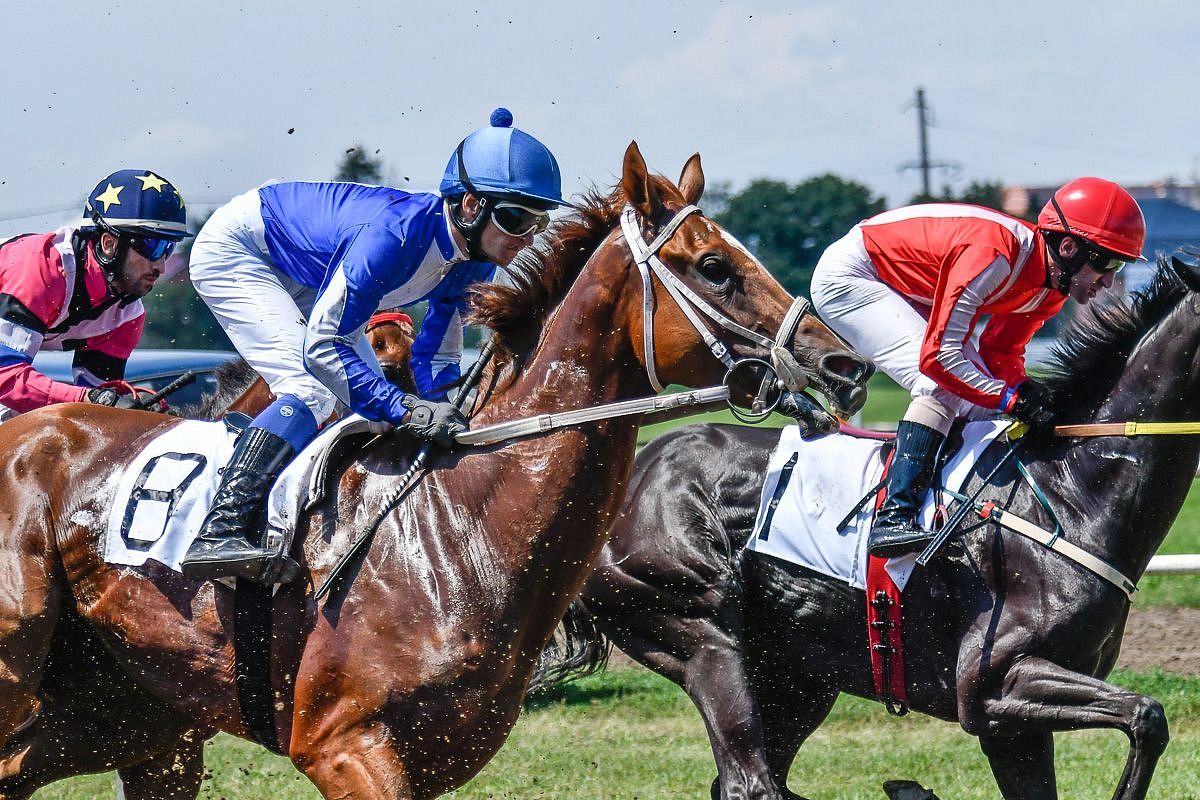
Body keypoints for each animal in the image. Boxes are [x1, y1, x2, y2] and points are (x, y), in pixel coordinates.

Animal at [0, 143, 868, 800]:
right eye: (715, 265)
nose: (843, 364)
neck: (463, 524)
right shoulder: (344, 747)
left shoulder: (429, 757)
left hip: (128, 716)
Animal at [542, 257, 1200, 800]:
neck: (1071, 491)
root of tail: (626, 479)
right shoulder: (993, 683)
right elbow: (1148, 714)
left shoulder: (1009, 727)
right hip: (699, 630)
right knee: (749, 781)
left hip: (798, 675)